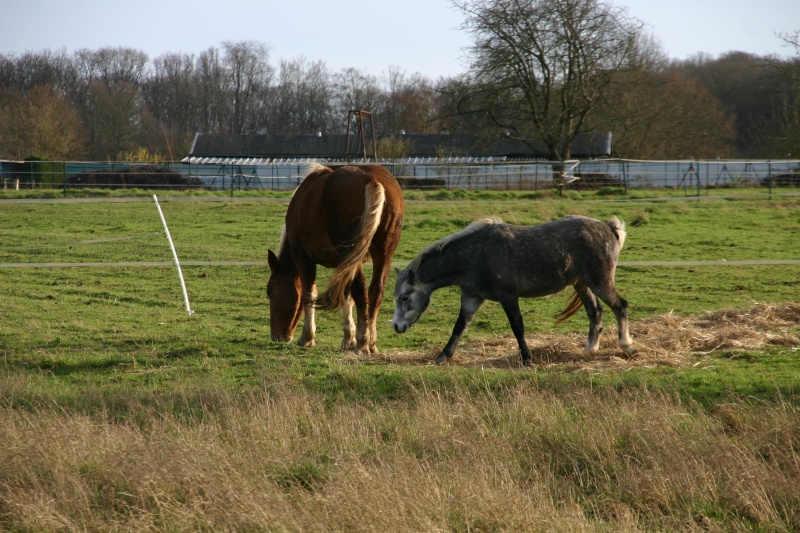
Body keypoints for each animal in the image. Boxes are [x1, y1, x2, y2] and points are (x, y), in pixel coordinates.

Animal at [268, 162, 406, 354]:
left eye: (270, 292)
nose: (276, 336)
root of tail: (372, 180)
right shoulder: (343, 265)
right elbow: (346, 295)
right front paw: (348, 338)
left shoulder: (303, 257)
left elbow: (309, 292)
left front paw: (307, 337)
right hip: (382, 253)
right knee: (375, 291)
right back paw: (371, 342)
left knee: (361, 290)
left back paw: (363, 343)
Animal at [390, 214, 636, 364]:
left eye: (405, 297)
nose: (396, 326)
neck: (476, 254)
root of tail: (609, 228)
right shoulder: (471, 297)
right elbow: (459, 327)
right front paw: (443, 356)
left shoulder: (508, 296)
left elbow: (517, 327)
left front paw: (527, 357)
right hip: (582, 284)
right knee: (595, 312)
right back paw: (590, 349)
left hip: (600, 282)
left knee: (620, 306)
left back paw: (626, 345)